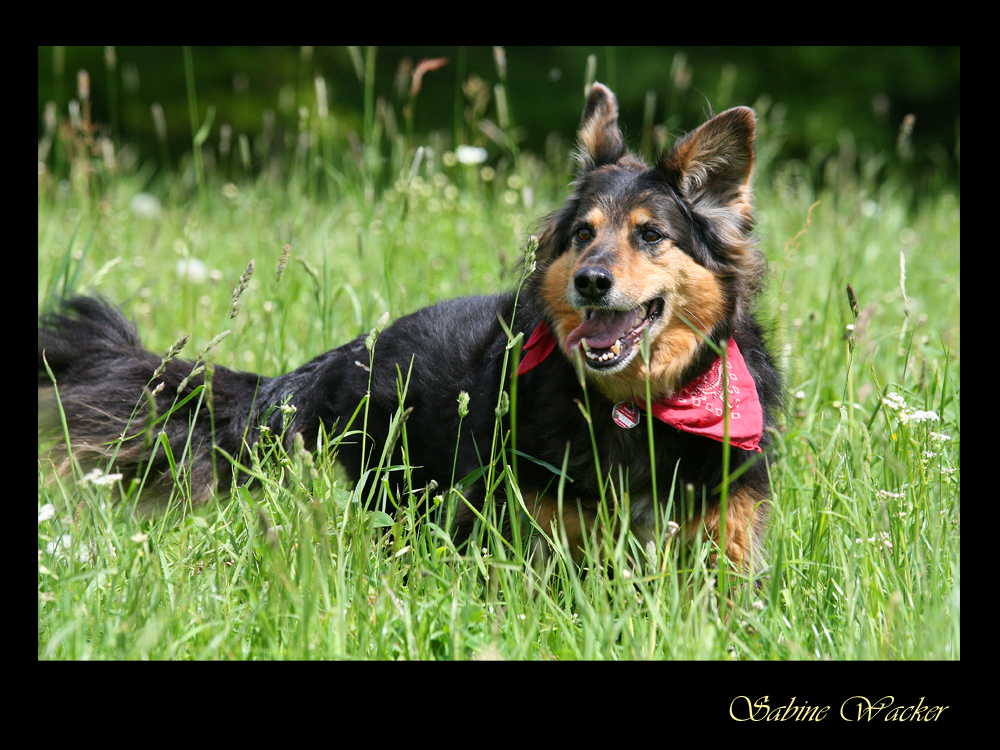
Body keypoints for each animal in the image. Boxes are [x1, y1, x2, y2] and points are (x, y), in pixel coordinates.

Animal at [39, 82, 780, 576]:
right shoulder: (531, 535)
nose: (590, 281)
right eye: (583, 235)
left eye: (650, 235)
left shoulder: (724, 542)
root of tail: (352, 352)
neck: (635, 408)